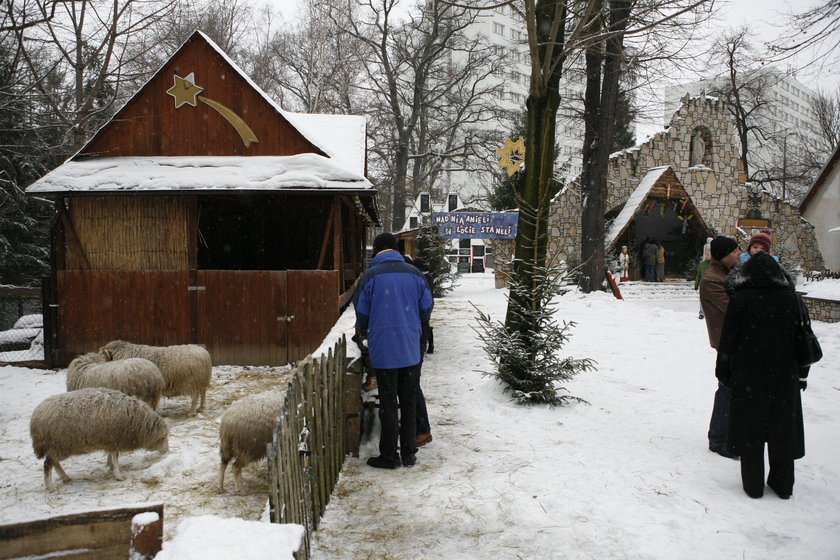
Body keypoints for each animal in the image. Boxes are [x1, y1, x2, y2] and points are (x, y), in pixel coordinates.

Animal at [29, 384, 169, 490]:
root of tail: (36, 416)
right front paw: (119, 475)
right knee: (48, 464)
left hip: (57, 447)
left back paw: (65, 477)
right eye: (164, 438)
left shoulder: (110, 441)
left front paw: (110, 466)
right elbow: (116, 456)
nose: (167, 451)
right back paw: (50, 487)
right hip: (58, 444)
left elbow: (111, 455)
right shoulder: (115, 439)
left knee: (54, 463)